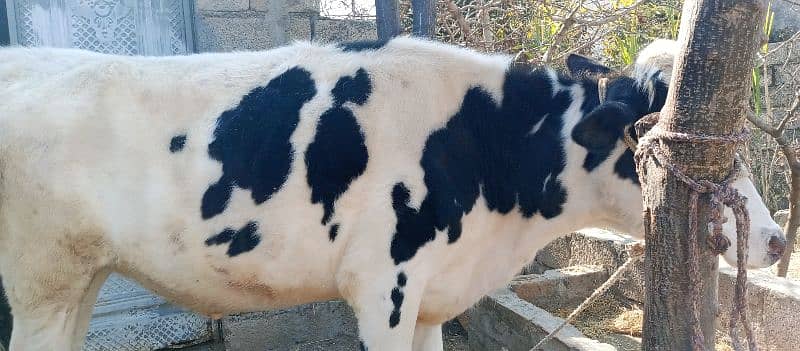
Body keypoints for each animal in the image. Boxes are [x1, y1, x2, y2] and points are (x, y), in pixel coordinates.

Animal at [0, 37, 788, 350]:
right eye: (660, 142)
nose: (778, 238)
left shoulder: (433, 296)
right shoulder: (385, 286)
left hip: (79, 278)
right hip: (41, 281)